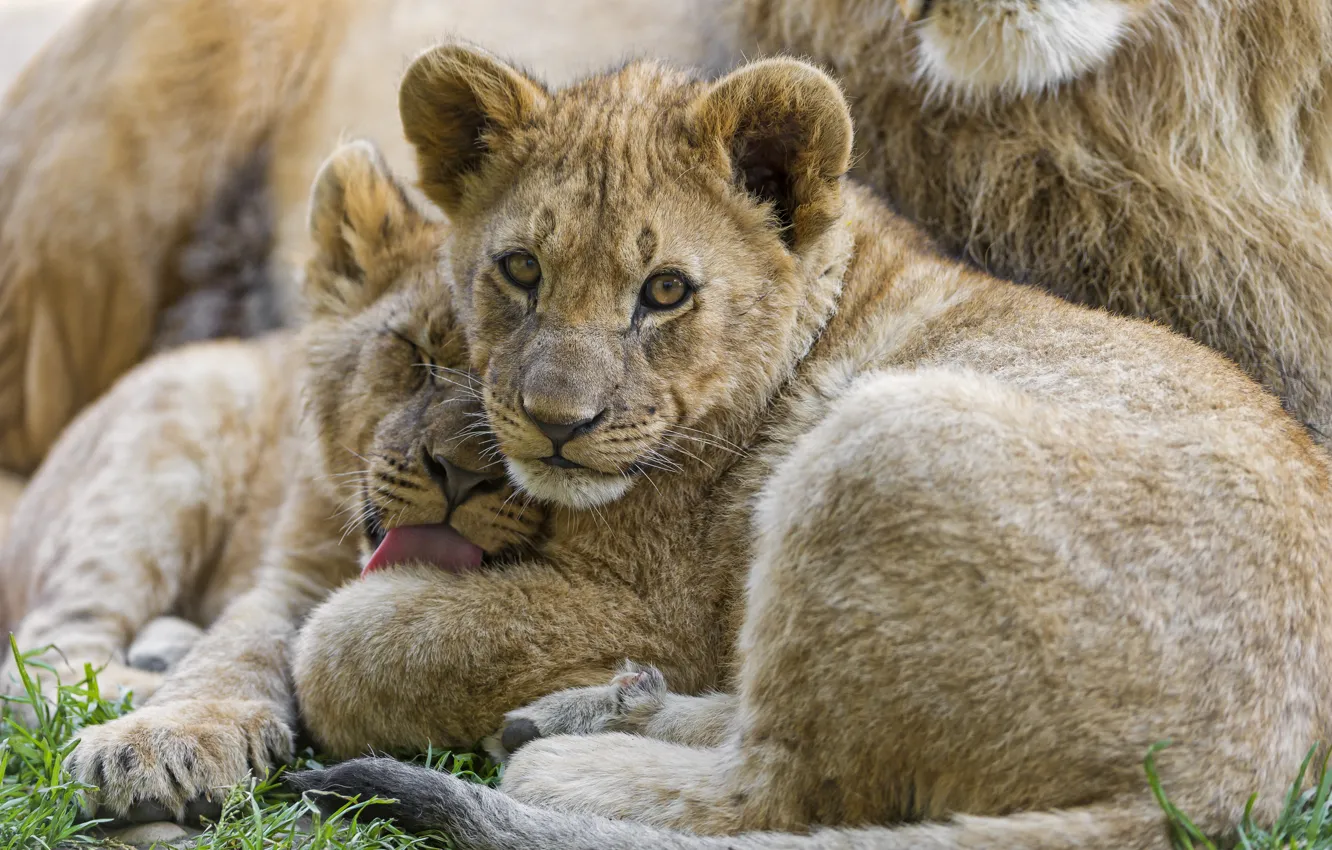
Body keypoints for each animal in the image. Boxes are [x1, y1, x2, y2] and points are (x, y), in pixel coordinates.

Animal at [285, 47, 1332, 850]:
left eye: (666, 291)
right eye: (520, 269)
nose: (555, 422)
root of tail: (1230, 779)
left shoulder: (652, 609)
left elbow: (341, 646)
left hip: (878, 441)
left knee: (786, 793)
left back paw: (562, 758)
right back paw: (599, 708)